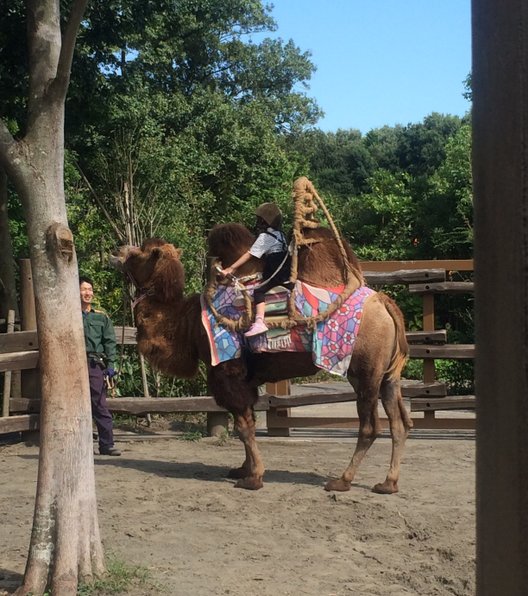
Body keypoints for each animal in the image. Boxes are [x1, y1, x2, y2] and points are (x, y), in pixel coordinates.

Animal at [112, 226, 412, 492]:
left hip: (364, 372)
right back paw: (388, 483)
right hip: (388, 376)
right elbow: (249, 423)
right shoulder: (246, 378)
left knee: (370, 426)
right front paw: (242, 469)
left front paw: (253, 477)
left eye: (140, 252)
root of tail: (386, 305)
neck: (189, 322)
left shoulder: (227, 370)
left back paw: (342, 481)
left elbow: (243, 425)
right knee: (399, 423)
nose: (117, 251)